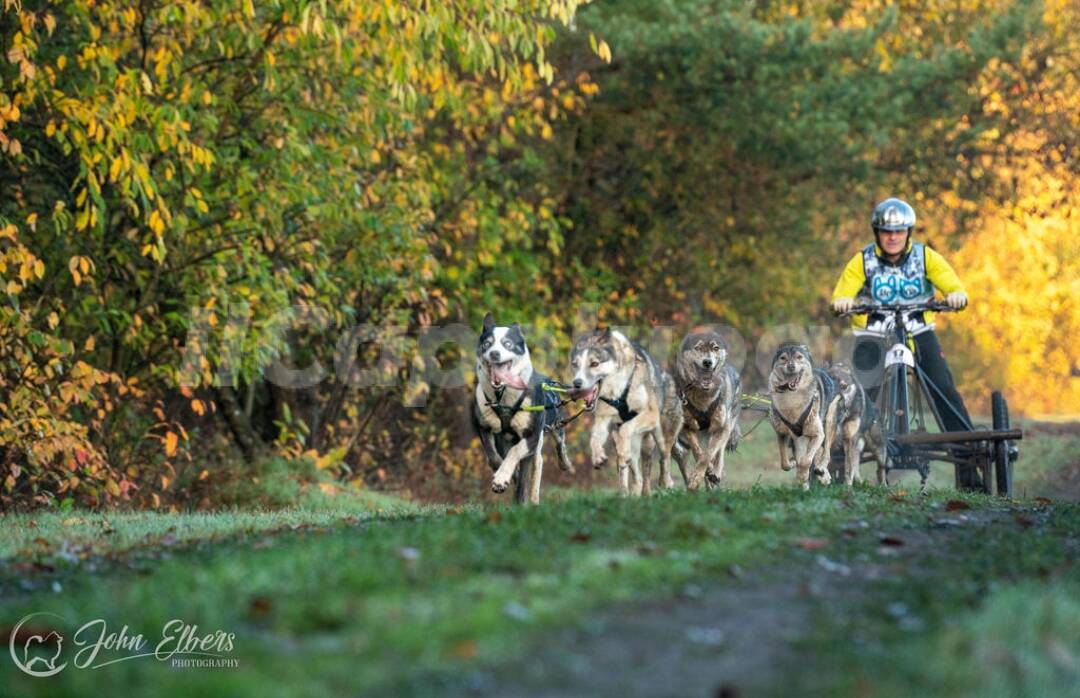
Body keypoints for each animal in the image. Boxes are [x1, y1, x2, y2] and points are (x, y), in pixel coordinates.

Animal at [470, 311, 574, 503]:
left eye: (507, 344)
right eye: (487, 344)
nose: (494, 354)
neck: (503, 397)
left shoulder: (531, 436)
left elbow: (515, 453)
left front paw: (503, 477)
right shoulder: (485, 428)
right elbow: (493, 458)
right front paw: (504, 477)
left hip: (553, 428)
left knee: (554, 450)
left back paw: (563, 467)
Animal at [570, 330, 678, 497]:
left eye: (594, 363)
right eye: (575, 365)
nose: (576, 383)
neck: (619, 391)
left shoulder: (651, 414)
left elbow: (626, 428)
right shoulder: (602, 419)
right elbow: (594, 439)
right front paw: (598, 456)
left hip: (661, 437)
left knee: (664, 460)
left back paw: (666, 485)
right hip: (635, 449)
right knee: (636, 476)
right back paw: (629, 494)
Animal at [669, 332, 738, 486]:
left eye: (715, 348)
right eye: (698, 347)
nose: (707, 362)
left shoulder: (722, 427)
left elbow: (709, 453)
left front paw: (703, 474)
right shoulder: (688, 427)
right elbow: (698, 452)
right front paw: (701, 474)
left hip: (726, 426)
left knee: (719, 452)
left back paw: (716, 472)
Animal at [768, 345, 842, 492]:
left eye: (799, 357)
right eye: (783, 358)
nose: (791, 366)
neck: (792, 399)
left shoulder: (818, 434)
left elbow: (806, 461)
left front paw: (802, 475)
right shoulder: (781, 433)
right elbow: (785, 463)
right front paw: (793, 464)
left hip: (828, 422)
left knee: (826, 452)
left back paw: (820, 470)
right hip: (800, 439)